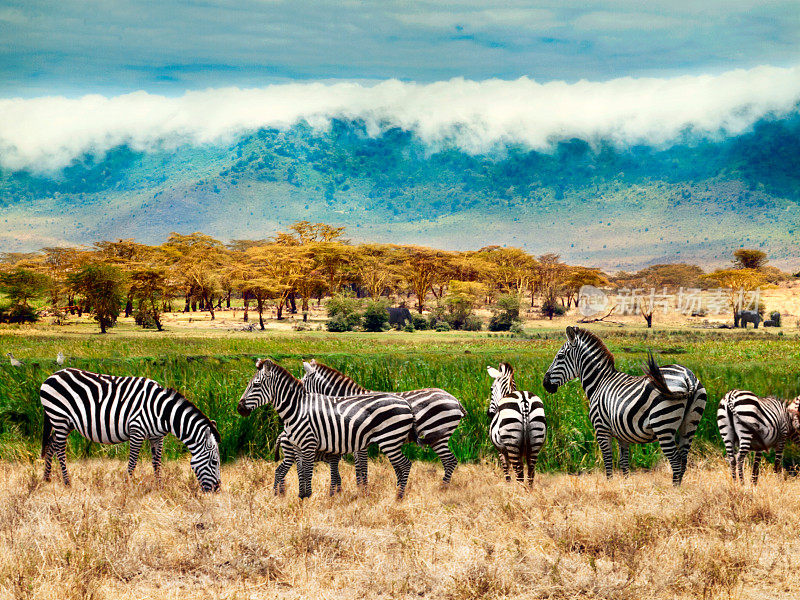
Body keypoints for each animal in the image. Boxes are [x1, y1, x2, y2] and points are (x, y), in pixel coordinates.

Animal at [39, 366, 222, 492]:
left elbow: (157, 462)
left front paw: (159, 487)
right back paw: (67, 482)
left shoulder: (157, 436)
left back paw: (46, 479)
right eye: (214, 462)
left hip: (65, 423)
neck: (162, 412)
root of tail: (51, 375)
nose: (217, 489)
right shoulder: (137, 430)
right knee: (60, 450)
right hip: (60, 418)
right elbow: (132, 462)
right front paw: (128, 486)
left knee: (51, 444)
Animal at [238, 358, 416, 500]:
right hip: (391, 441)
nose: (240, 408)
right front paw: (301, 498)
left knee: (405, 465)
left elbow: (309, 472)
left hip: (389, 440)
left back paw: (399, 497)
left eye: (256, 385)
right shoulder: (298, 447)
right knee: (400, 466)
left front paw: (308, 498)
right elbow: (302, 473)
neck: (297, 408)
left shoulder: (309, 445)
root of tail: (405, 403)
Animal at [298, 358, 466, 486]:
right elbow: (359, 467)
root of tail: (454, 399)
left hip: (437, 433)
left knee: (450, 461)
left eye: (302, 382)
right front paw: (361, 488)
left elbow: (361, 467)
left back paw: (443, 488)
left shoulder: (359, 441)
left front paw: (362, 490)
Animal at [544, 326, 708, 486]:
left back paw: (673, 491)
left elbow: (608, 461)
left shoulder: (601, 428)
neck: (599, 383)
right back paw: (679, 489)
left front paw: (610, 486)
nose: (545, 383)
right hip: (690, 424)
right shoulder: (622, 434)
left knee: (675, 461)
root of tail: (688, 377)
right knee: (684, 460)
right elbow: (624, 463)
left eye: (560, 356)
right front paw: (625, 486)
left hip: (663, 424)